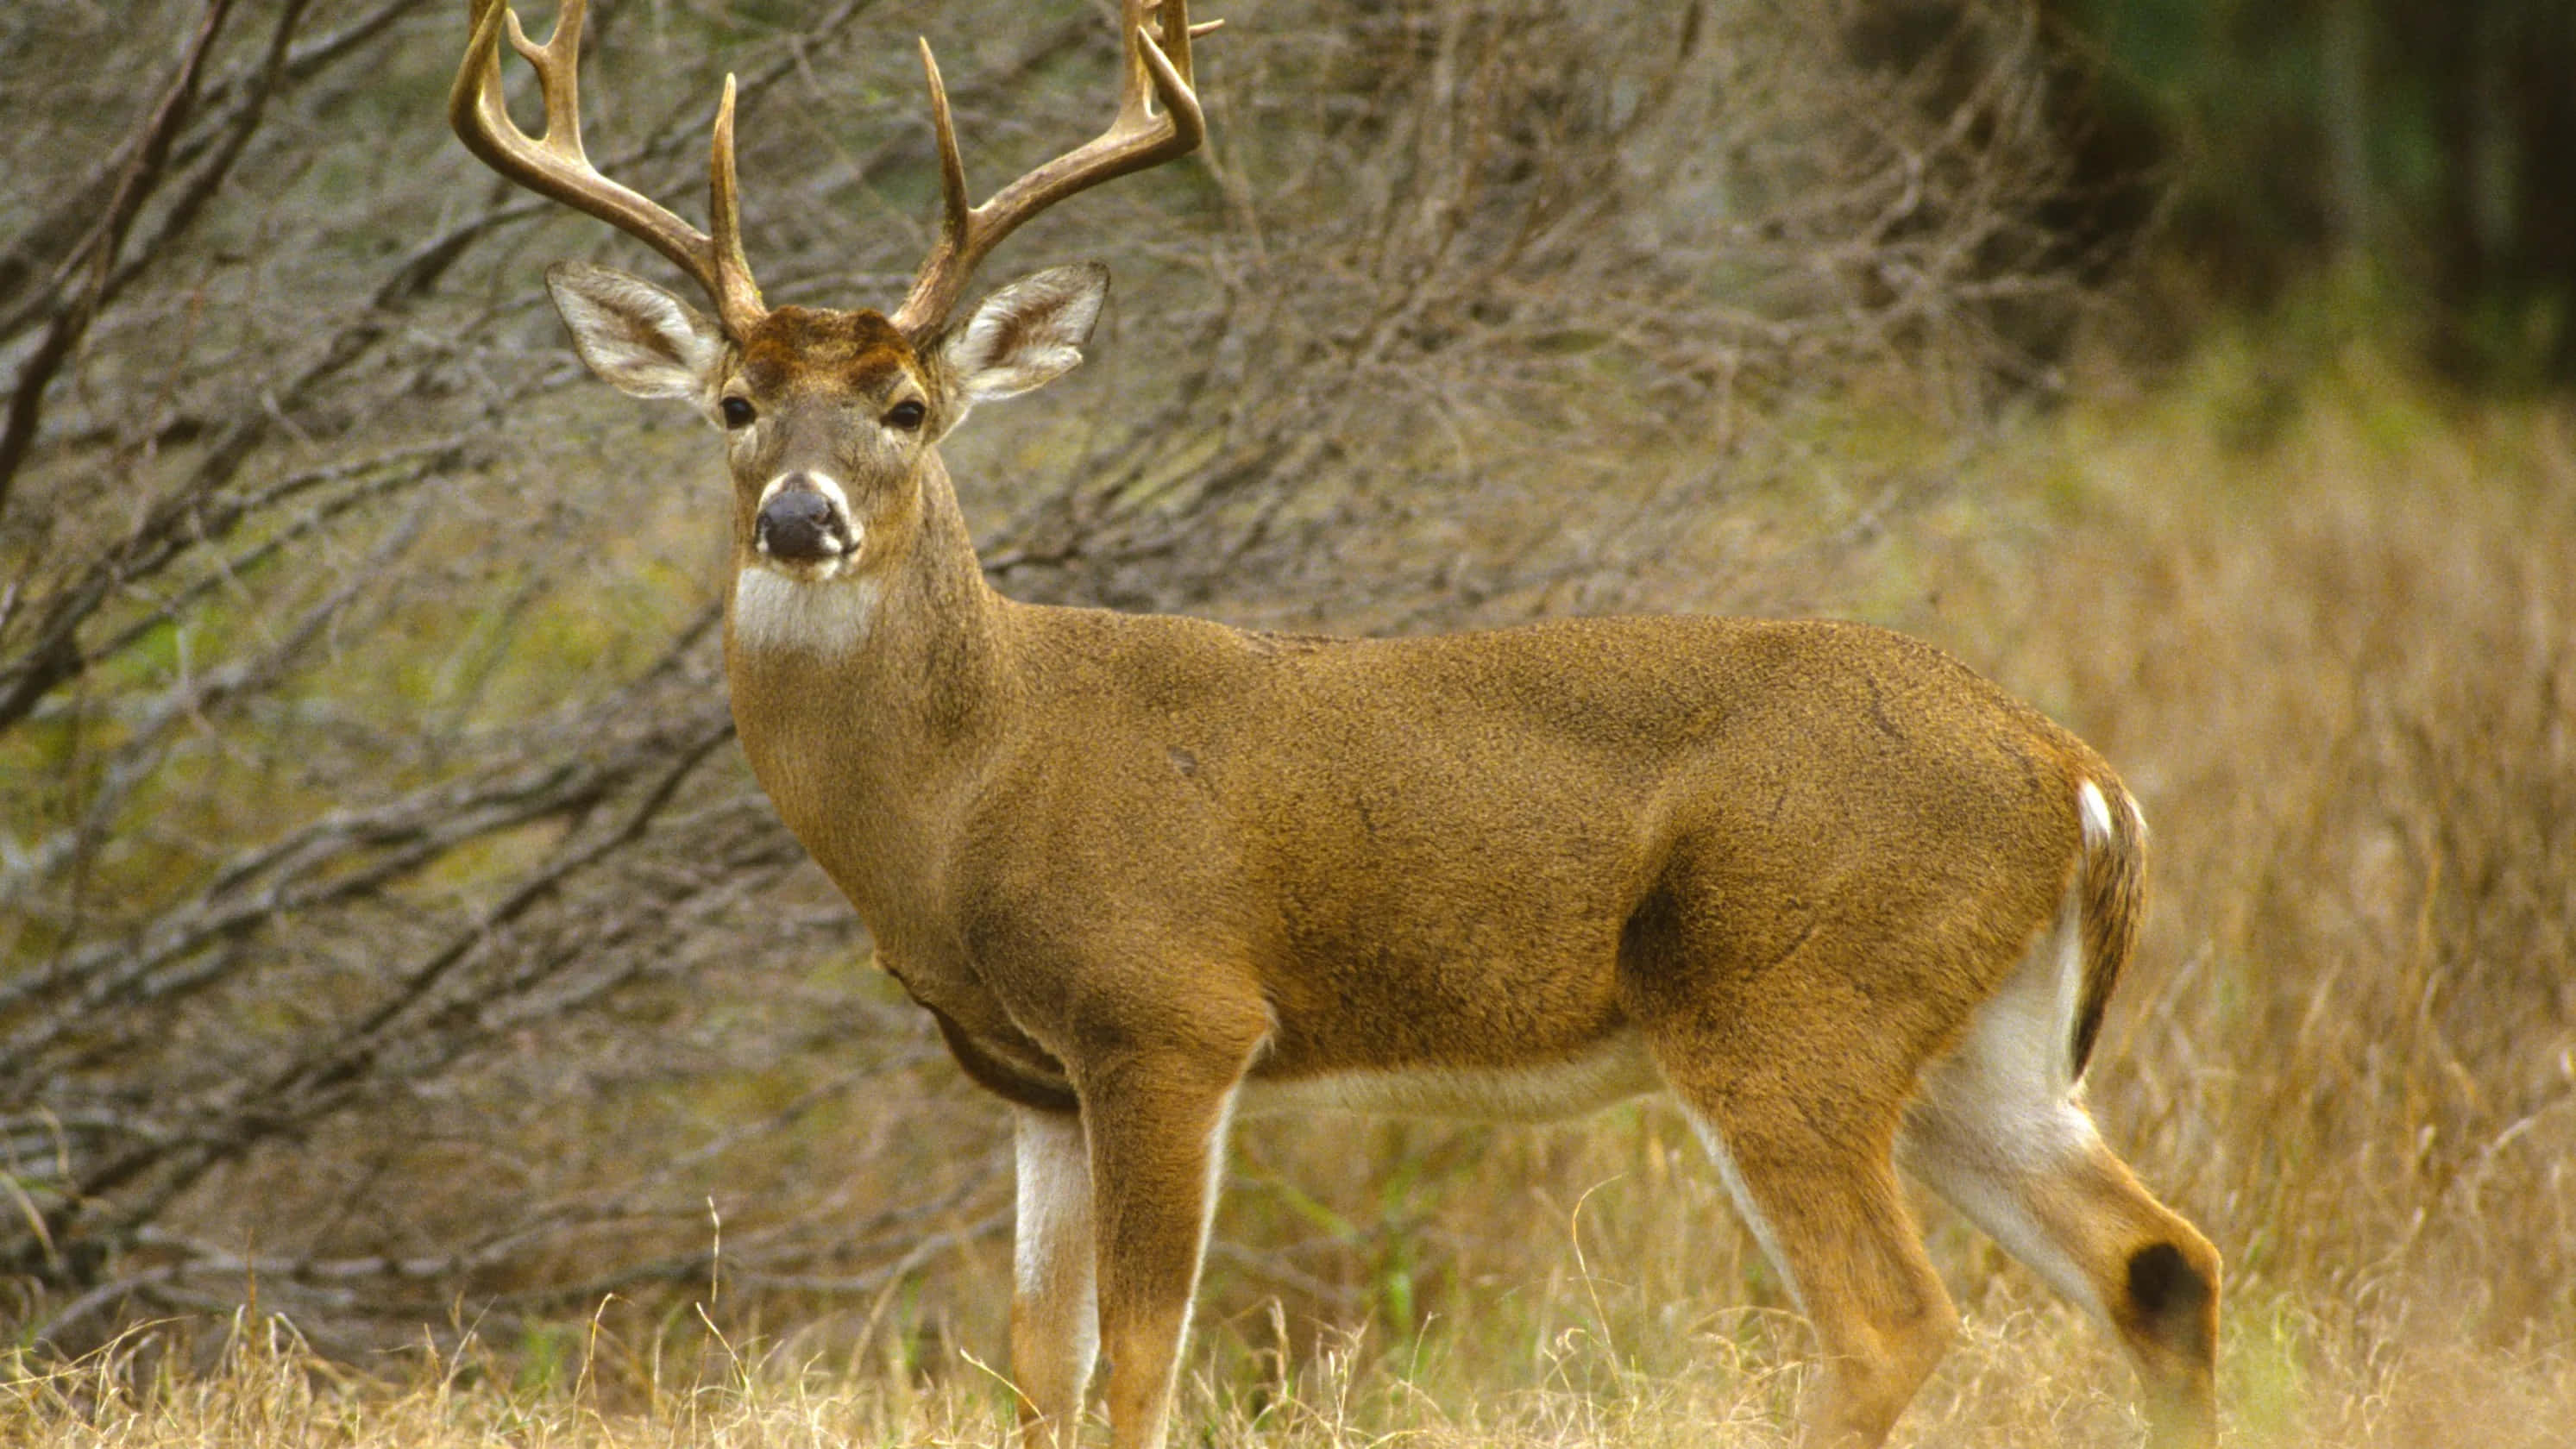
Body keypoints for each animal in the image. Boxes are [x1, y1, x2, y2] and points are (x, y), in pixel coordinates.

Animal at [449, 2, 2220, 1445]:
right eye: (734, 406)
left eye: (909, 408)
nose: (800, 519)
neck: (973, 784)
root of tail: (2077, 775)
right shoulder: (1029, 1081)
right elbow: (1034, 1367)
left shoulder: (1171, 1016)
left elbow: (1138, 1367)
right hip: (1977, 1042)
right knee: (2159, 1263)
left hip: (1787, 998)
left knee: (1892, 1319)